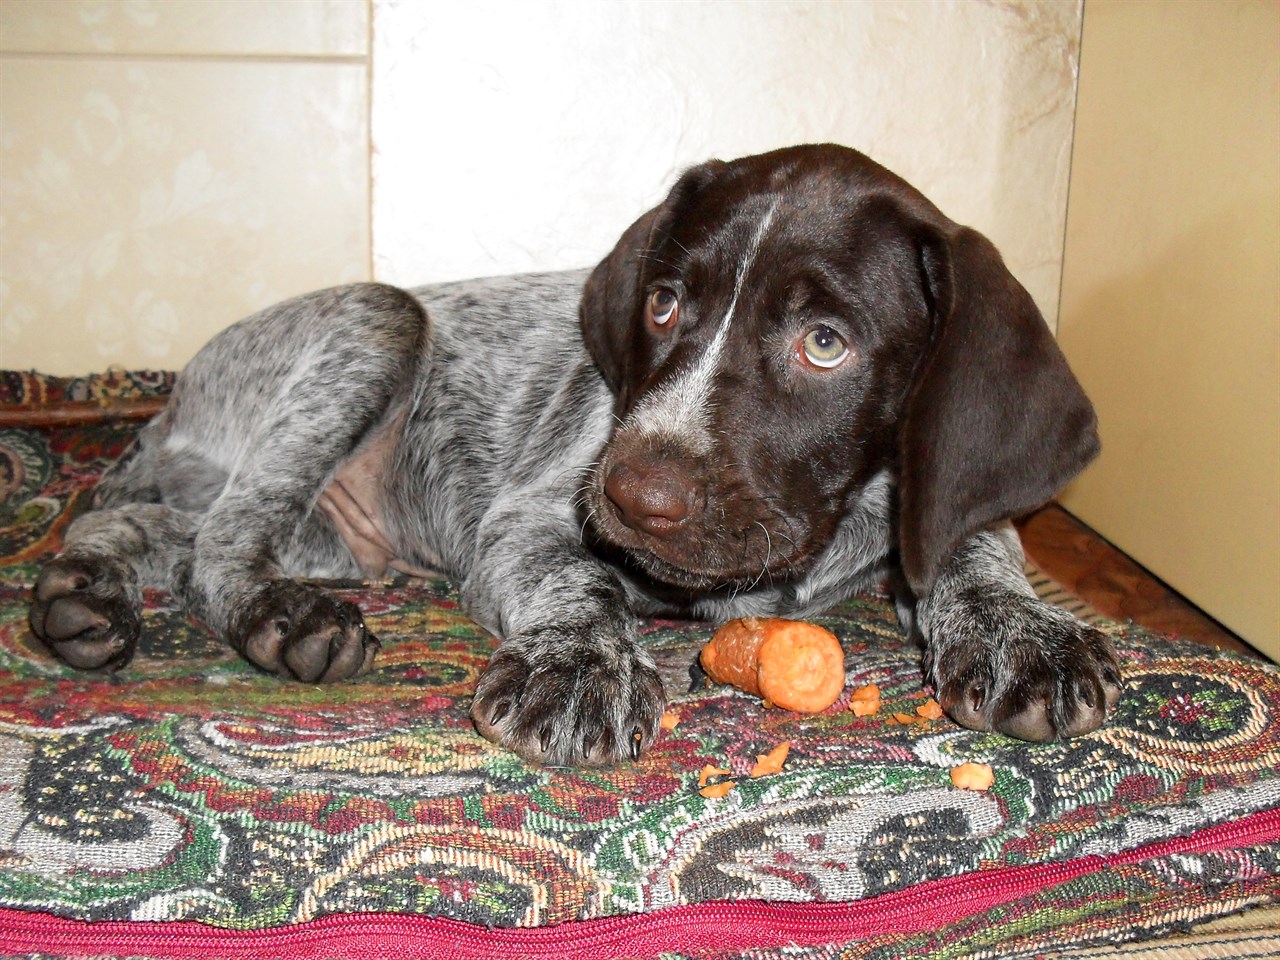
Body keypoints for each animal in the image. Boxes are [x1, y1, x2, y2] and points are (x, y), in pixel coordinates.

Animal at [27, 144, 1121, 768]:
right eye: (662, 304)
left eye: (826, 343)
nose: (633, 496)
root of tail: (170, 403)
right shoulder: (530, 521)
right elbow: (579, 585)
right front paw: (579, 668)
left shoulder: (931, 505)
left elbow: (975, 543)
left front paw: (1024, 631)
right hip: (376, 323)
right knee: (216, 545)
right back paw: (273, 620)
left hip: (335, 533)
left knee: (154, 522)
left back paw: (83, 594)